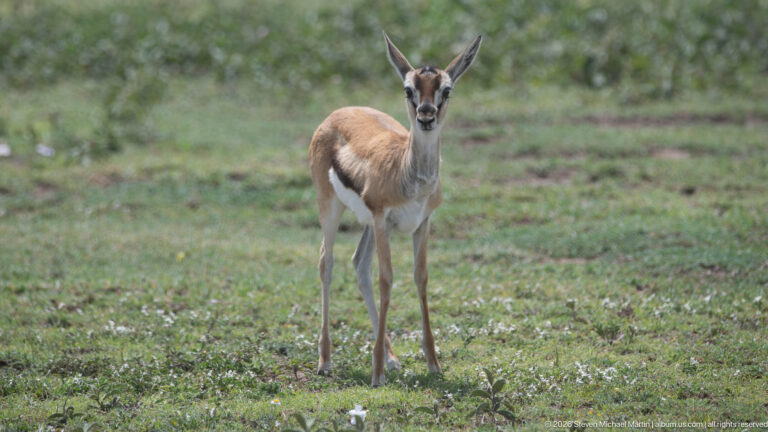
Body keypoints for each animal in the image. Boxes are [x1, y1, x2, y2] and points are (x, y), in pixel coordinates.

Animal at [308, 31, 482, 387]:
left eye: (446, 89)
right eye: (408, 89)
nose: (426, 117)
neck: (408, 173)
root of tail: (337, 113)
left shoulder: (421, 224)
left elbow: (420, 278)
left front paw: (433, 363)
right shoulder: (383, 220)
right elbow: (386, 280)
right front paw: (376, 375)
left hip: (367, 225)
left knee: (359, 265)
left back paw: (391, 357)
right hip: (332, 210)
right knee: (326, 263)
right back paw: (326, 361)